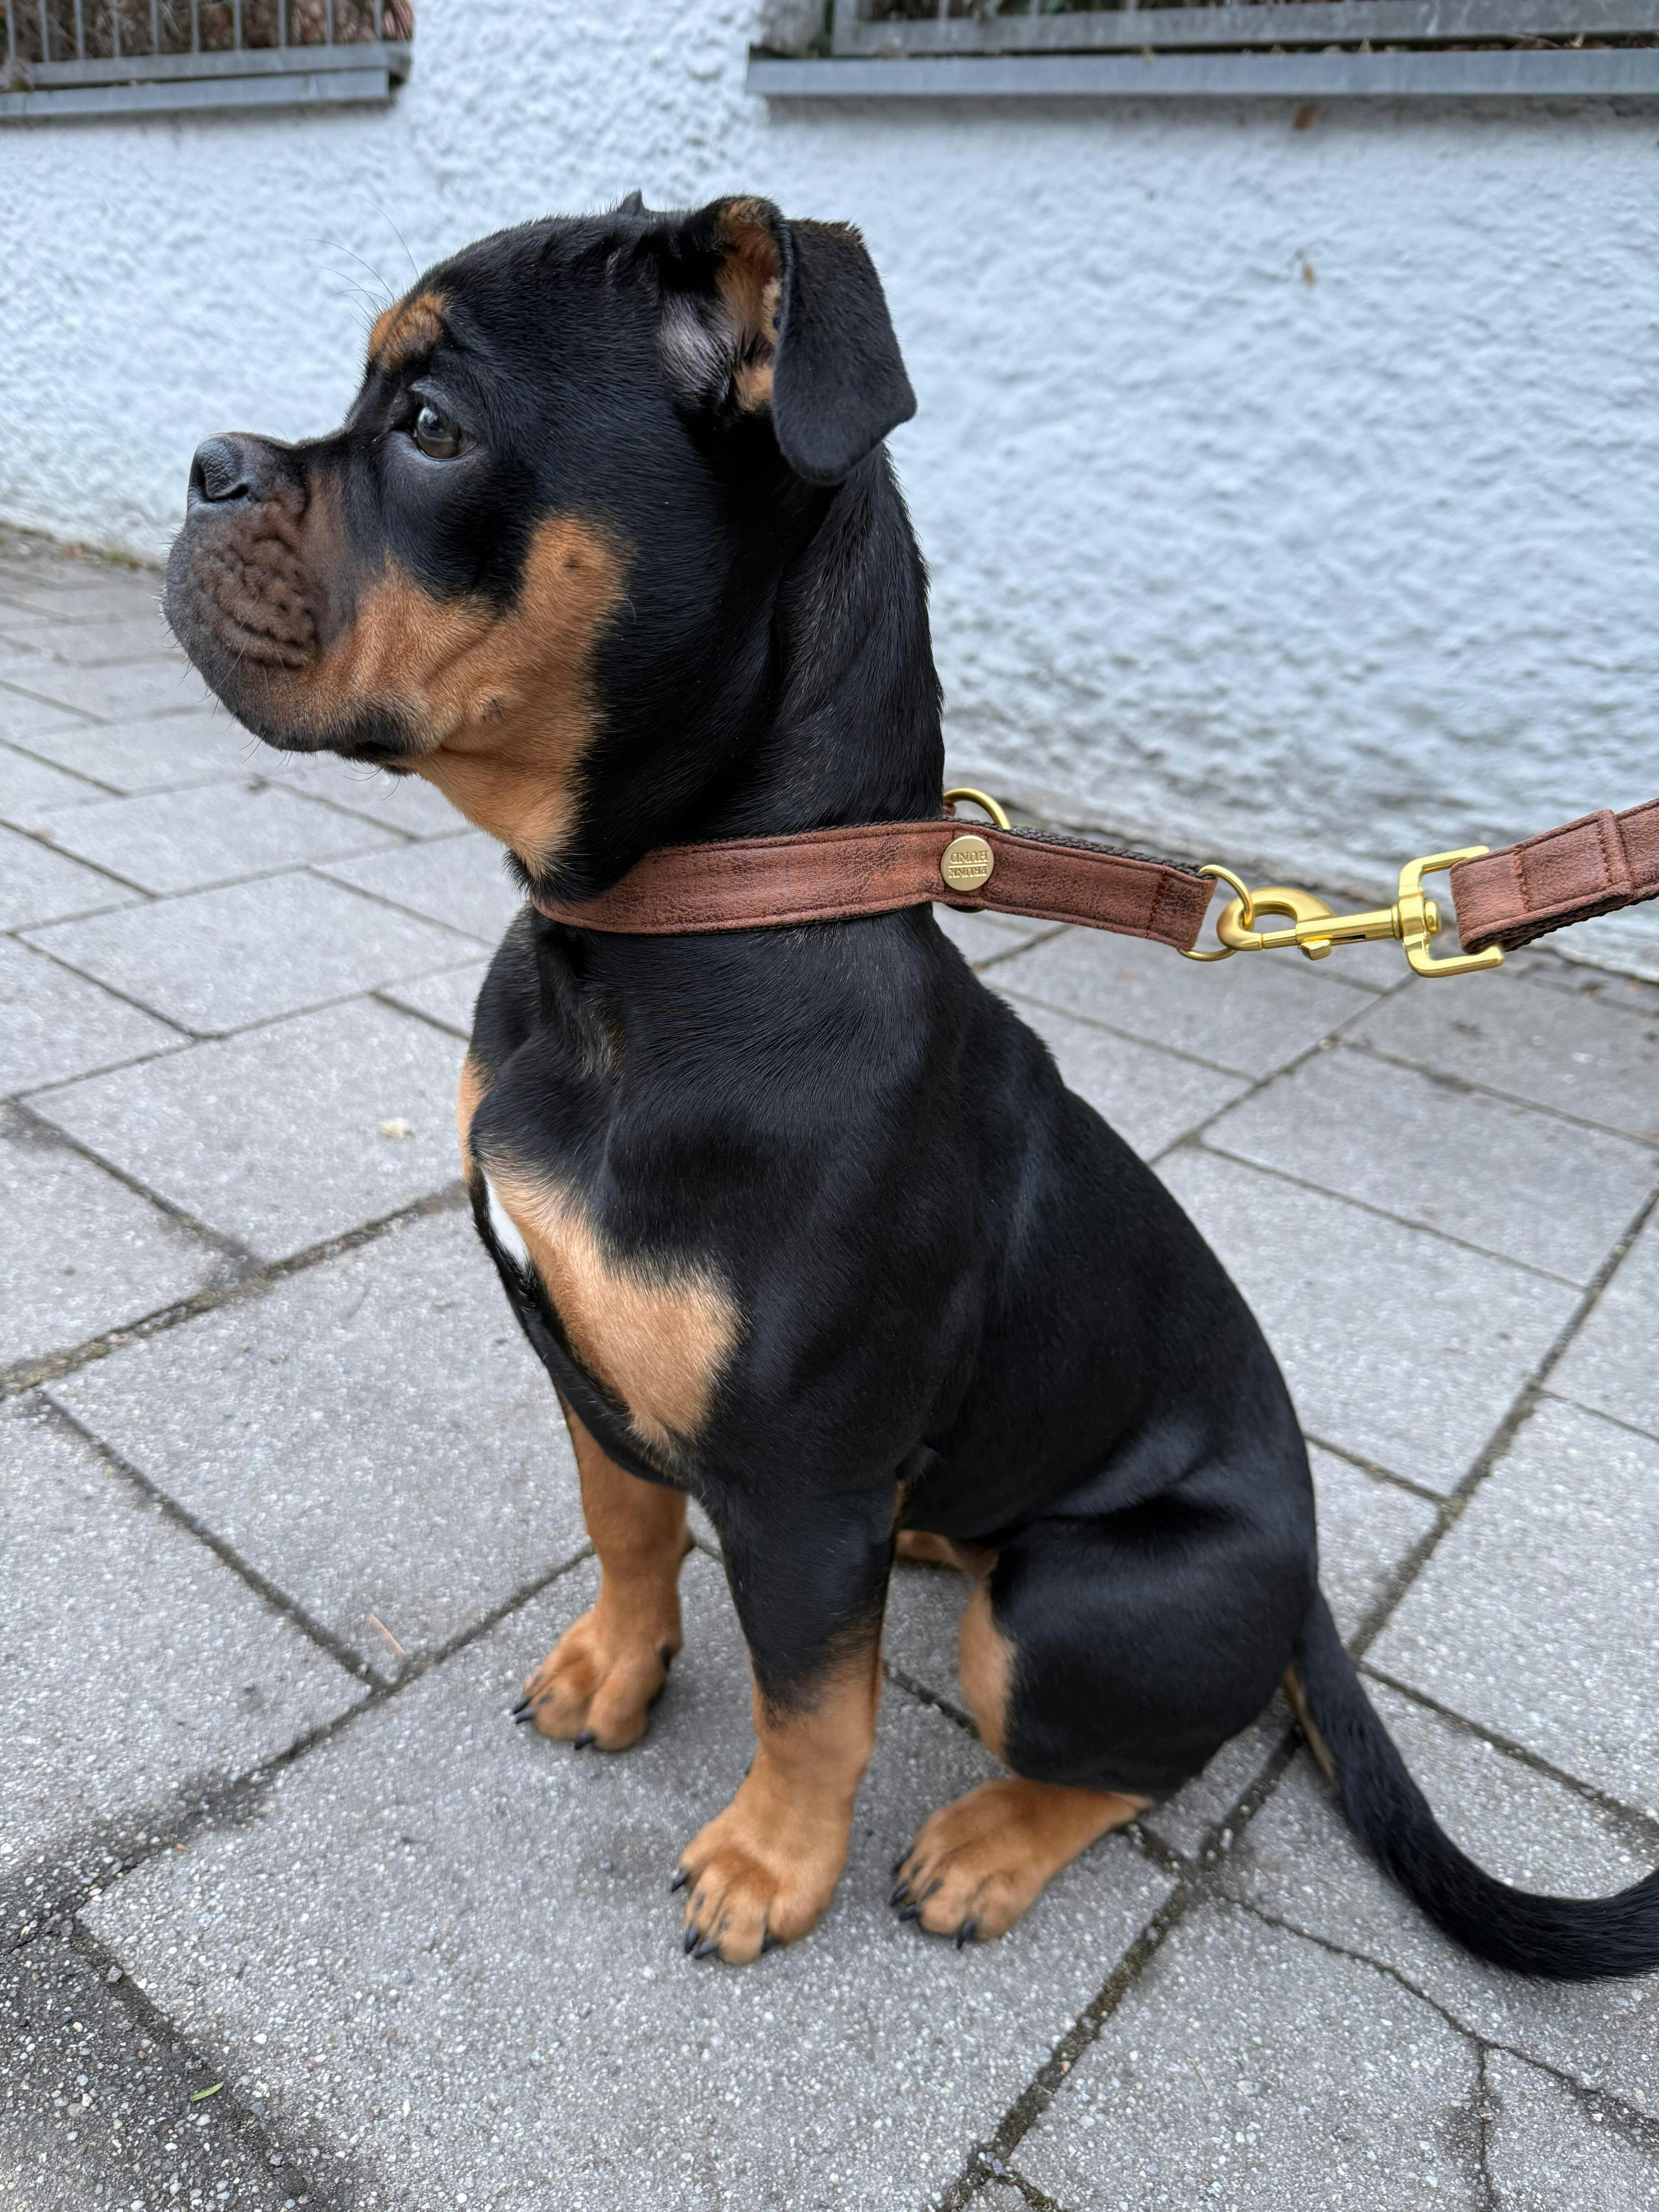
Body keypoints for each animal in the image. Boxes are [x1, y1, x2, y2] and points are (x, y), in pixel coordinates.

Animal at [165, 192, 1658, 1976]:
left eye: (433, 427)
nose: (202, 463)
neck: (674, 933)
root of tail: (1303, 1595)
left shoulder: (803, 1484)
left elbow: (816, 1700)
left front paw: (767, 1870)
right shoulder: (589, 1362)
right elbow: (629, 1527)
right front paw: (614, 1671)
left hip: (1078, 1606)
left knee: (1141, 1756)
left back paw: (986, 1851)